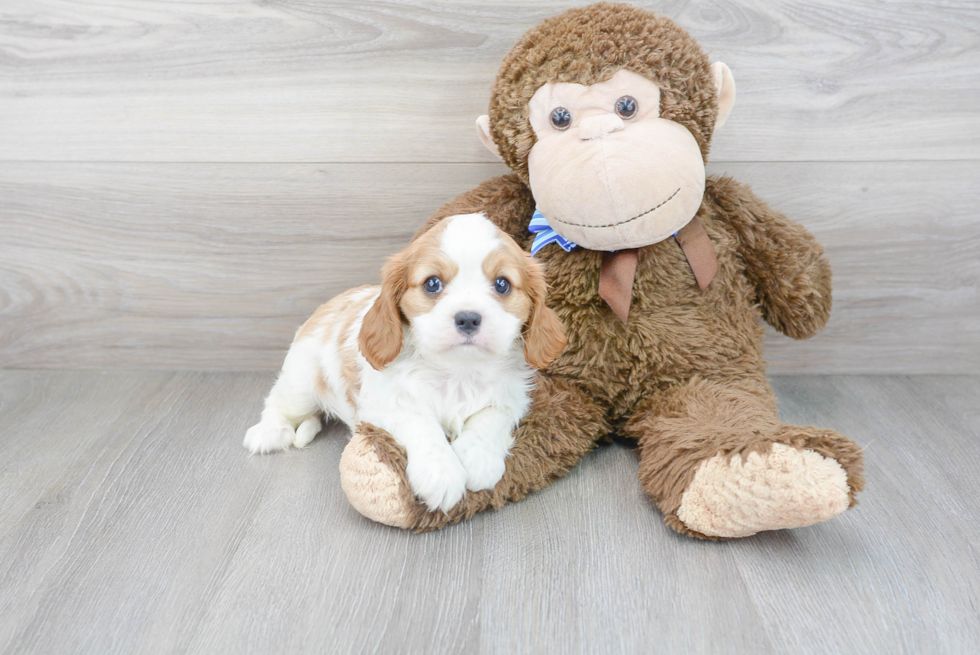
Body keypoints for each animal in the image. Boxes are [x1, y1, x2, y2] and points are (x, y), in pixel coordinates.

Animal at [243, 214, 568, 512]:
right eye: (432, 284)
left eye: (502, 284)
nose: (468, 318)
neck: (457, 371)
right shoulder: (386, 403)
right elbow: (421, 424)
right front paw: (442, 473)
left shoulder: (511, 397)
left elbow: (490, 418)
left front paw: (477, 459)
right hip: (300, 381)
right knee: (279, 405)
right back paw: (268, 433)